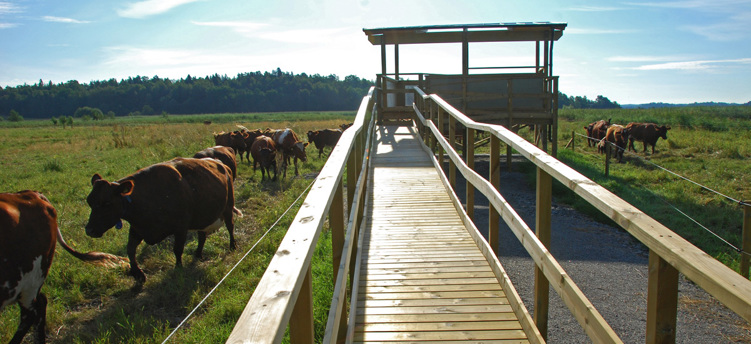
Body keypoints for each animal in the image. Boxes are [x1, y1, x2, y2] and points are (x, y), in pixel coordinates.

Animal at [84, 159, 241, 282]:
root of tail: (222, 165)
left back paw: (232, 246)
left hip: (228, 208)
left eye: (107, 203)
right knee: (202, 235)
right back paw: (198, 253)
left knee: (230, 226)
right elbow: (130, 249)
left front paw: (178, 268)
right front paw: (137, 274)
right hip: (203, 217)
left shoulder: (180, 227)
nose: (89, 230)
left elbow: (177, 249)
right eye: (89, 202)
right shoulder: (138, 228)